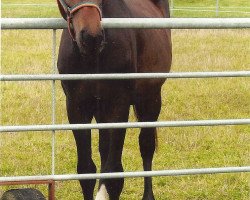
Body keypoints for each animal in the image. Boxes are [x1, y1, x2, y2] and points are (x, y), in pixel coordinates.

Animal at [56, 0, 172, 199]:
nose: (91, 38)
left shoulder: (119, 106)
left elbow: (114, 176)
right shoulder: (76, 107)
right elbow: (86, 170)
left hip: (150, 100)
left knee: (146, 146)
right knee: (104, 149)